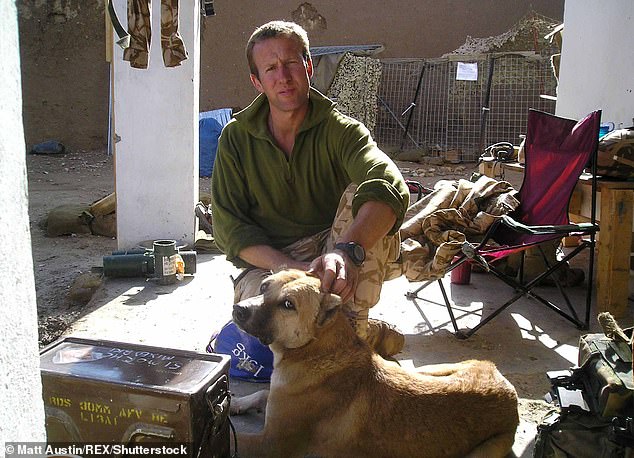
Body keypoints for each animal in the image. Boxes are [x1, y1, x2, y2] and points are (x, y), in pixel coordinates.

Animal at [230, 269, 519, 457]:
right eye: (264, 287)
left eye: (288, 304)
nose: (238, 310)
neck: (314, 350)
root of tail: (505, 386)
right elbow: (262, 393)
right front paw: (235, 403)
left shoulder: (271, 445)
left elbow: (234, 439)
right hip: (426, 369)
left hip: (486, 451)